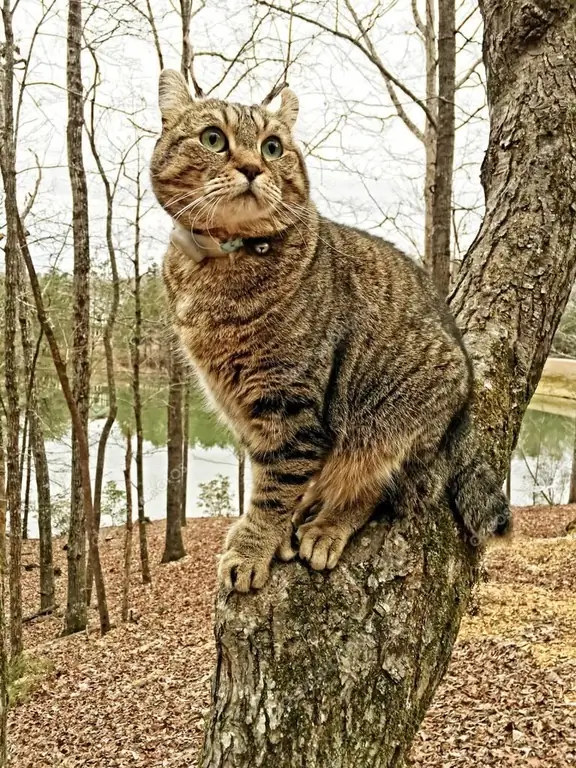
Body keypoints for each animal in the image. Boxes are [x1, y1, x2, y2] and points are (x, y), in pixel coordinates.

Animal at [151, 69, 510, 592]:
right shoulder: (247, 411)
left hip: (385, 426)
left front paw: (252, 547)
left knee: (373, 489)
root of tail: (463, 383)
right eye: (213, 139)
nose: (252, 168)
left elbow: (274, 489)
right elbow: (271, 480)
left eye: (273, 147)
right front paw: (273, 533)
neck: (222, 267)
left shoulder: (289, 404)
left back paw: (326, 526)